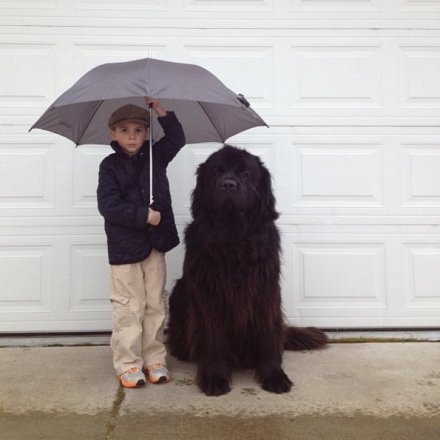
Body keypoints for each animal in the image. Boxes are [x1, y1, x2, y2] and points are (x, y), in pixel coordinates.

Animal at [168, 144, 326, 396]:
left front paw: (274, 375)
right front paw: (214, 377)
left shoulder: (264, 291)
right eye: (217, 172)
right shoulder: (209, 295)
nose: (228, 184)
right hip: (180, 290)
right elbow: (212, 337)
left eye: (245, 174)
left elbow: (268, 336)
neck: (233, 236)